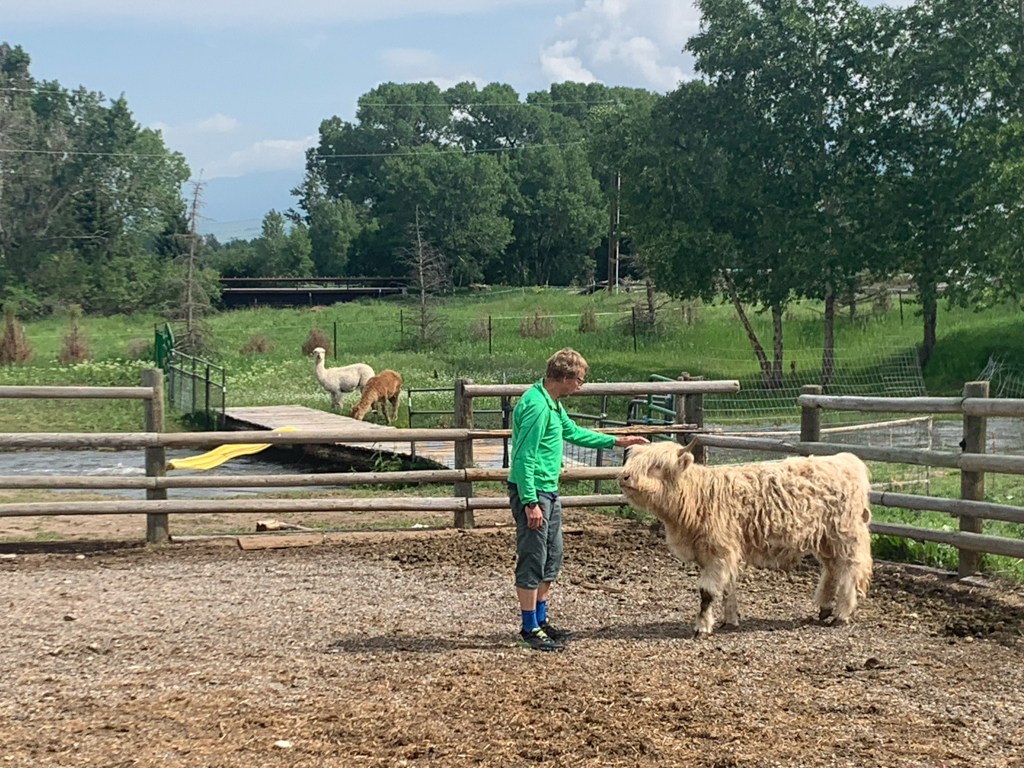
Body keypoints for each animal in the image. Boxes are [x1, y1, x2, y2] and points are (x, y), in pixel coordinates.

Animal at [614, 442, 872, 638]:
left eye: (656, 466)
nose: (624, 477)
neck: (697, 497)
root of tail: (845, 459)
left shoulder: (720, 551)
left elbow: (707, 592)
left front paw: (701, 627)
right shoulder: (721, 553)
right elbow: (727, 587)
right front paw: (729, 620)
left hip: (844, 535)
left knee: (849, 569)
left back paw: (841, 614)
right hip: (825, 539)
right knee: (833, 569)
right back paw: (825, 608)